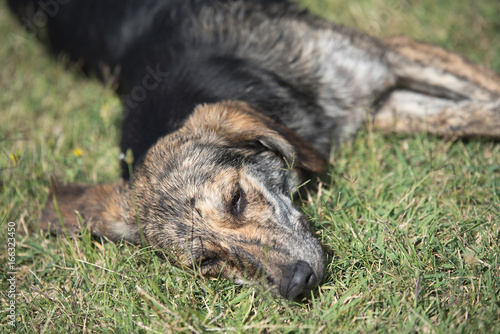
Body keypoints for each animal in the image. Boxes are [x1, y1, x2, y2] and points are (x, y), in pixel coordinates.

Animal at [6, 0, 500, 302]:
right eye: (208, 261)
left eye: (236, 199)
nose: (298, 284)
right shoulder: (381, 105)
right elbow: (465, 115)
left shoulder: (388, 55)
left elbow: (486, 99)